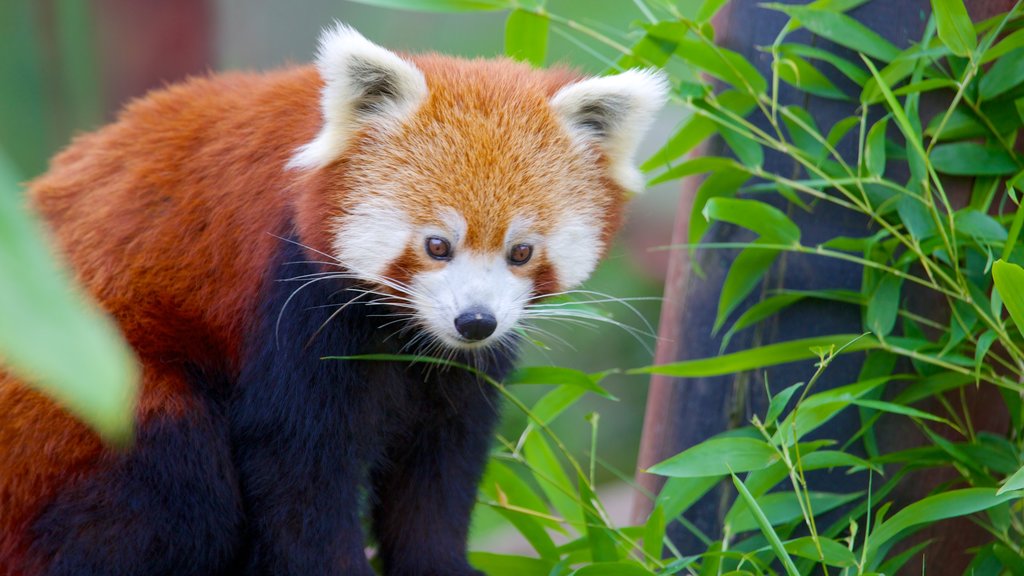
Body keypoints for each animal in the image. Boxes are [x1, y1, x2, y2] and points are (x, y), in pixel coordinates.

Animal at [0, 23, 667, 573]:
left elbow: (439, 467)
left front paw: (439, 564)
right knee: (177, 478)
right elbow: (299, 469)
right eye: (437, 245)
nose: (474, 321)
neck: (401, 329)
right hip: (87, 396)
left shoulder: (457, 370)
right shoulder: (290, 304)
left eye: (521, 252)